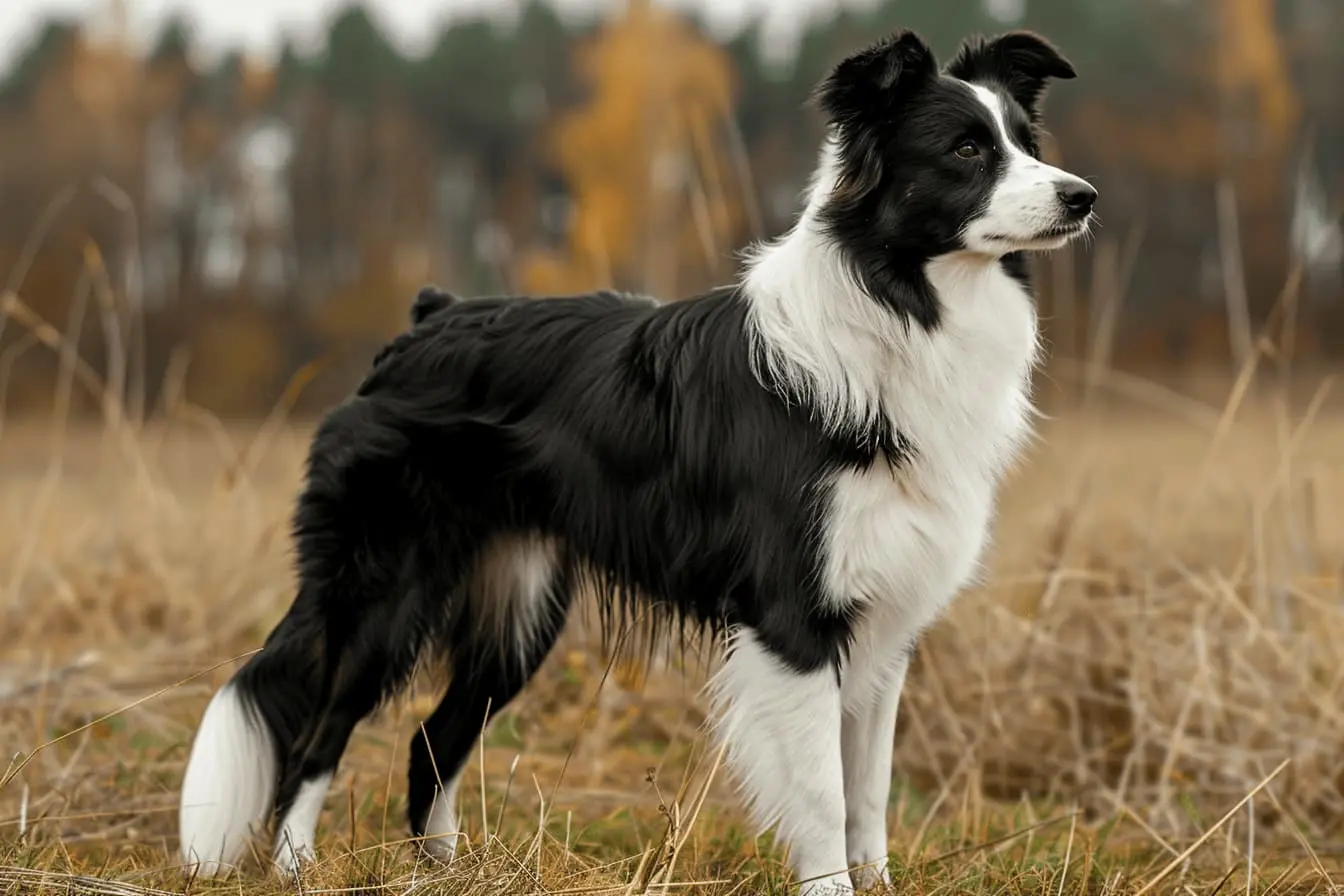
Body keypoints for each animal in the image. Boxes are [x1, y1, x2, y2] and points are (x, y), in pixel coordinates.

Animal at [178, 24, 1096, 891]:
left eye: (1027, 142)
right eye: (965, 150)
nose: (1082, 196)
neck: (901, 302)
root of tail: (424, 320)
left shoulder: (886, 619)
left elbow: (867, 790)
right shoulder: (794, 617)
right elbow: (823, 794)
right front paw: (832, 887)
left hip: (518, 614)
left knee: (428, 743)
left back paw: (451, 873)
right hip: (386, 591)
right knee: (318, 738)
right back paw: (298, 869)